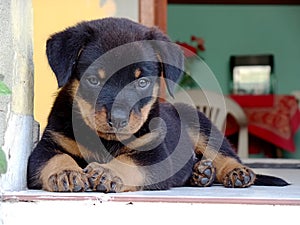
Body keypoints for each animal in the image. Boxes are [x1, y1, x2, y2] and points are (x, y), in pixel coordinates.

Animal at [27, 18, 288, 192]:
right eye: (93, 80)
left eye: (142, 82)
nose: (118, 119)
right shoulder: (46, 146)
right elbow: (55, 158)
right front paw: (65, 173)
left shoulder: (155, 154)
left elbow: (129, 162)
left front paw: (107, 171)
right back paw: (200, 173)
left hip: (202, 126)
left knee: (224, 153)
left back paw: (235, 172)